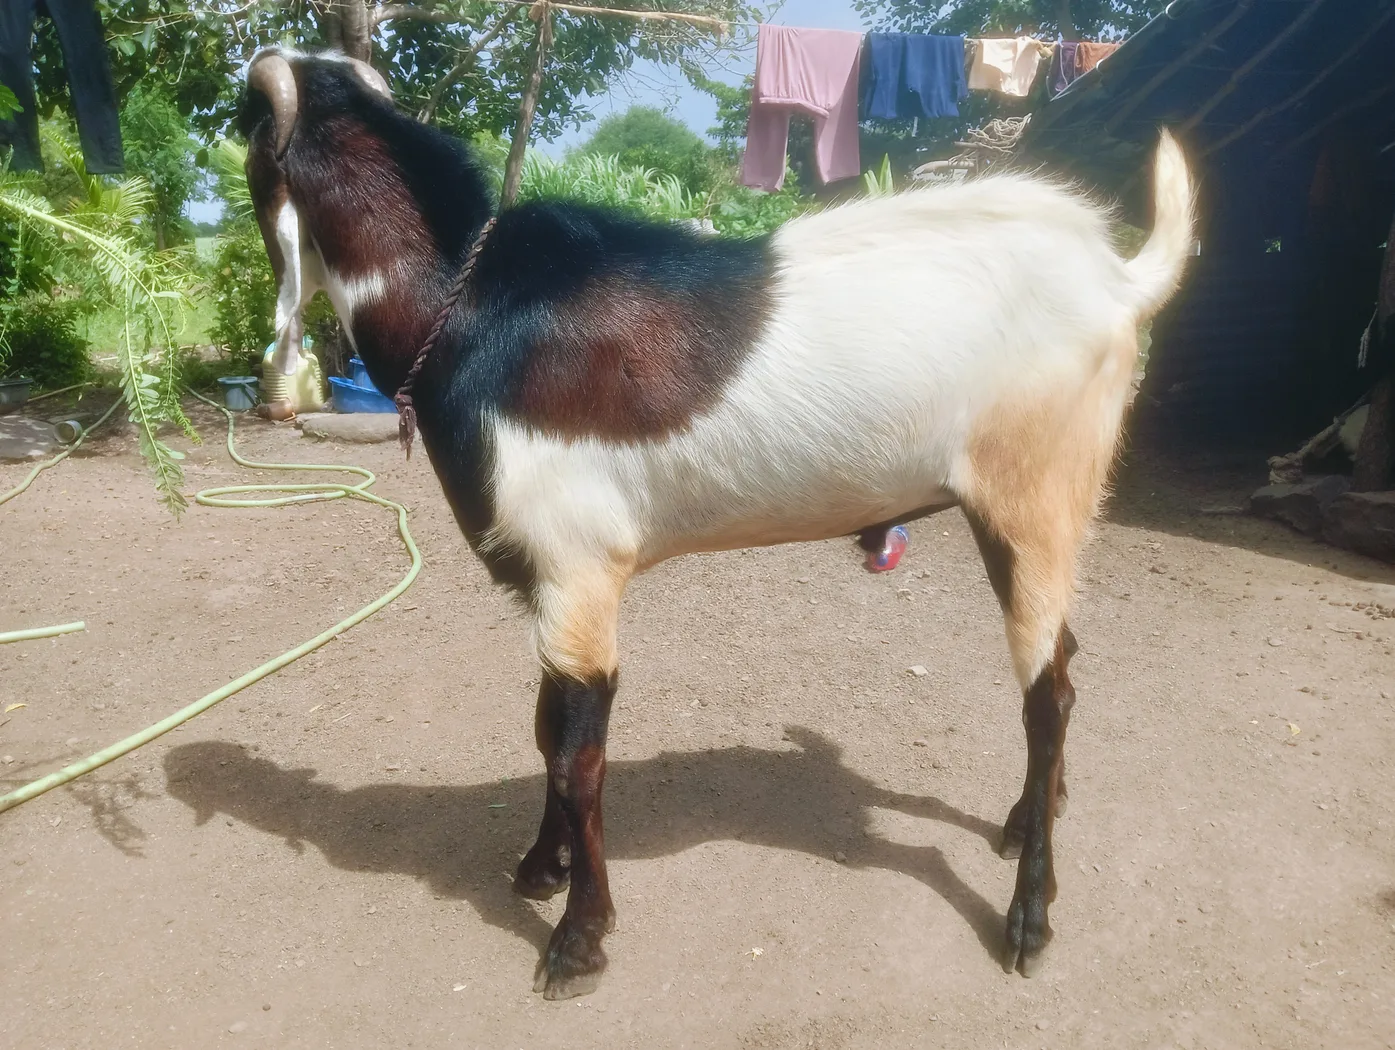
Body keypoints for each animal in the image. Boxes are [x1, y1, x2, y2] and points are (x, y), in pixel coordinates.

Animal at [240, 48, 1194, 1000]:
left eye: (246, 140)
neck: (469, 303)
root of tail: (1115, 278)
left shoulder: (580, 567)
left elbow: (577, 758)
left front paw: (579, 939)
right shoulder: (547, 581)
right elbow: (545, 729)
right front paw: (542, 867)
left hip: (1033, 492)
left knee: (1047, 694)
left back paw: (1028, 916)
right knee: (1064, 659)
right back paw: (1030, 814)